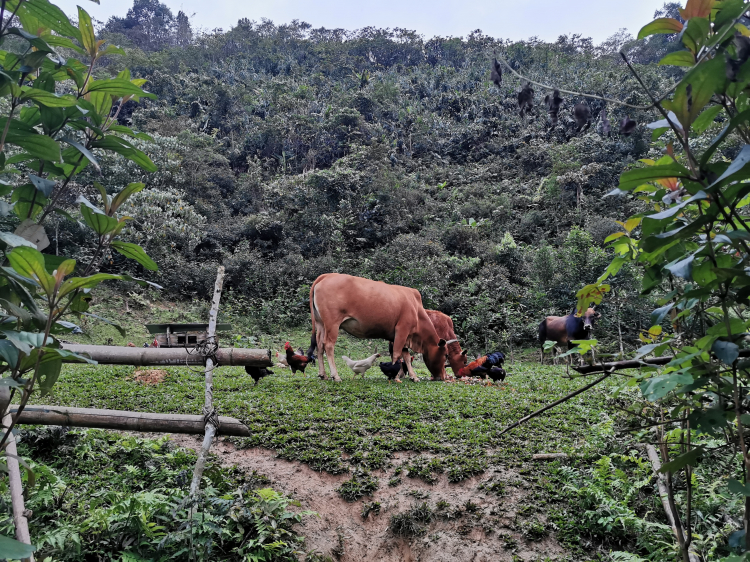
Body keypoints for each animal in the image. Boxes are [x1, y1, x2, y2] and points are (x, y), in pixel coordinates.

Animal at [310, 272, 446, 380]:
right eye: (445, 356)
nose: (443, 377)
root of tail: (327, 275)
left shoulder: (401, 336)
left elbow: (406, 357)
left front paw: (413, 376)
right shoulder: (402, 330)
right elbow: (397, 355)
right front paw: (396, 376)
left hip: (321, 324)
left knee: (319, 345)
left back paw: (323, 374)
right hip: (332, 324)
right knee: (328, 345)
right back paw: (335, 376)